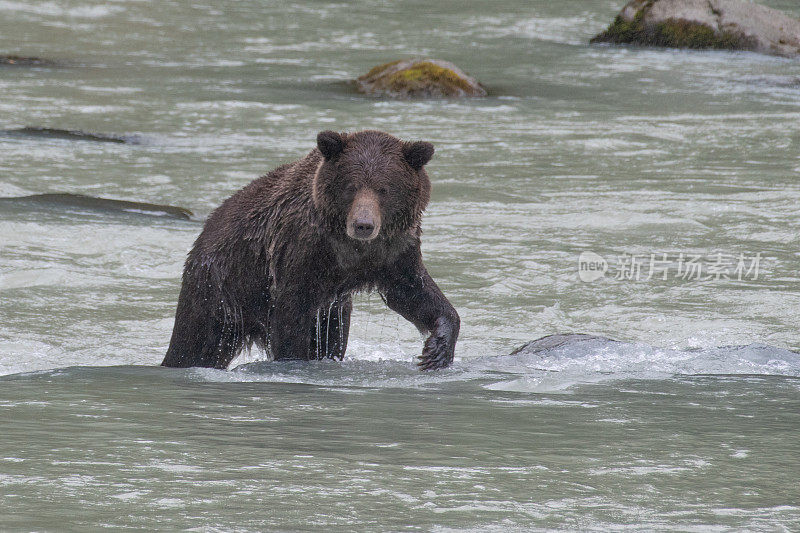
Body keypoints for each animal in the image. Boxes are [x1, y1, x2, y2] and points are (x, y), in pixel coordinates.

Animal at [162, 129, 460, 370]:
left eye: (384, 189)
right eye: (351, 186)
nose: (363, 224)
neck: (350, 249)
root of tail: (206, 230)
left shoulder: (393, 251)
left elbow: (413, 293)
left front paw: (436, 351)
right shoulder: (302, 250)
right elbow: (291, 314)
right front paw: (295, 359)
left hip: (333, 310)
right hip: (222, 289)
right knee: (196, 342)